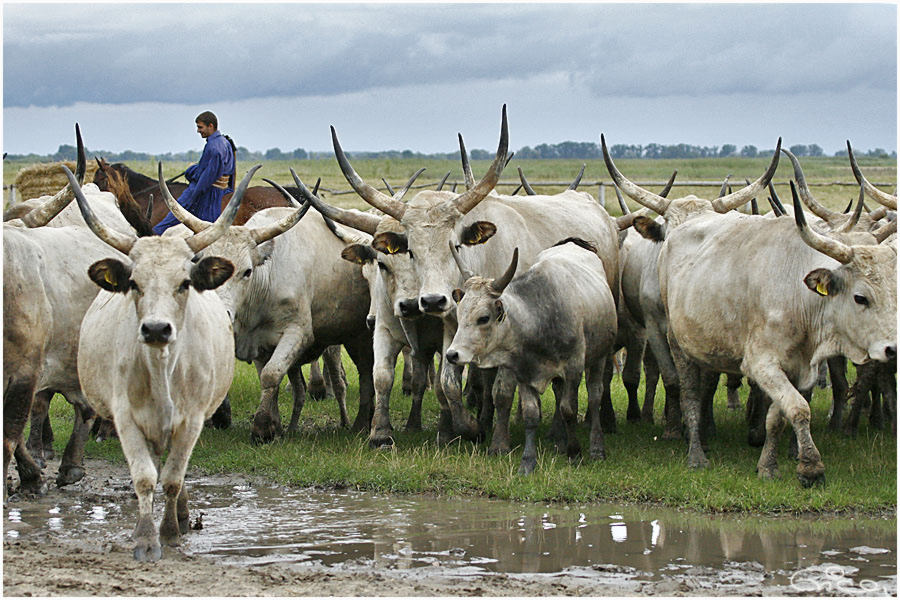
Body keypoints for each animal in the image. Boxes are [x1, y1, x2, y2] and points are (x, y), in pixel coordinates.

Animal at [159, 173, 372, 440]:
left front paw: (261, 428)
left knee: (360, 374)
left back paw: (356, 422)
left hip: (355, 336)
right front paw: (275, 425)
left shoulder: (297, 332)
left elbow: (271, 375)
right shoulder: (257, 341)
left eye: (247, 271)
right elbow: (268, 378)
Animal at [656, 183, 896, 488]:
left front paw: (767, 465)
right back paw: (697, 454)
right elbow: (798, 408)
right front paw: (811, 467)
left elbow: (778, 416)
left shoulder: (800, 367)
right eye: (860, 297)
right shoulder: (762, 364)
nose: (892, 349)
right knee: (690, 395)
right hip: (678, 343)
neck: (800, 297)